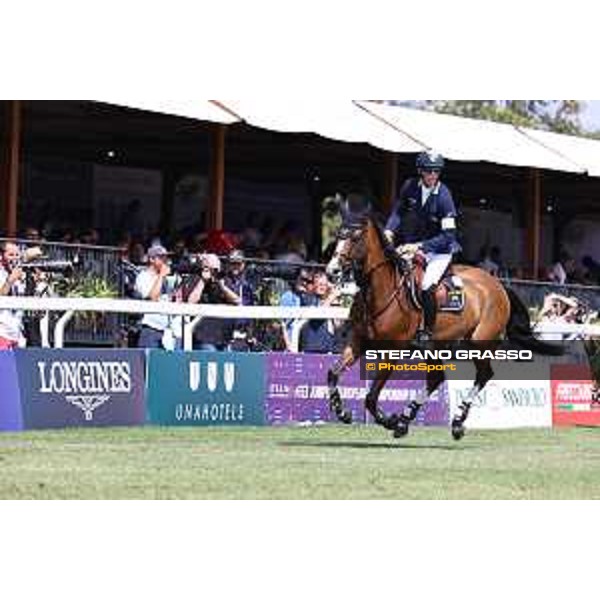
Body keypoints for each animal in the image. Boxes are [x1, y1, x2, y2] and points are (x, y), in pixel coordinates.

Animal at [326, 209, 560, 438]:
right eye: (338, 236)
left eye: (355, 238)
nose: (332, 271)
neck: (380, 292)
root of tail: (498, 284)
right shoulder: (359, 341)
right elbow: (333, 374)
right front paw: (343, 412)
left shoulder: (393, 349)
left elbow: (371, 397)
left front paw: (388, 420)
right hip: (437, 345)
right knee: (436, 378)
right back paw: (406, 419)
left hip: (479, 342)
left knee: (483, 375)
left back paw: (455, 422)